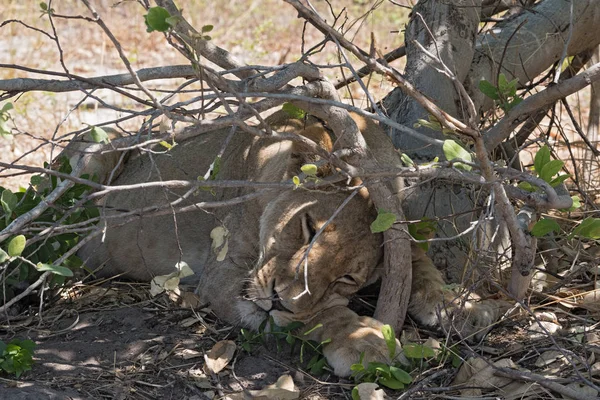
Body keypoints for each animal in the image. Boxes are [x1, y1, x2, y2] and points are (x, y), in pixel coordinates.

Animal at [78, 111, 502, 376]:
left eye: (347, 278)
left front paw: (460, 304)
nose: (279, 299)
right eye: (309, 227)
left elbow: (419, 262)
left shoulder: (396, 224)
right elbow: (317, 314)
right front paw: (364, 342)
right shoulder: (227, 274)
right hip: (94, 152)